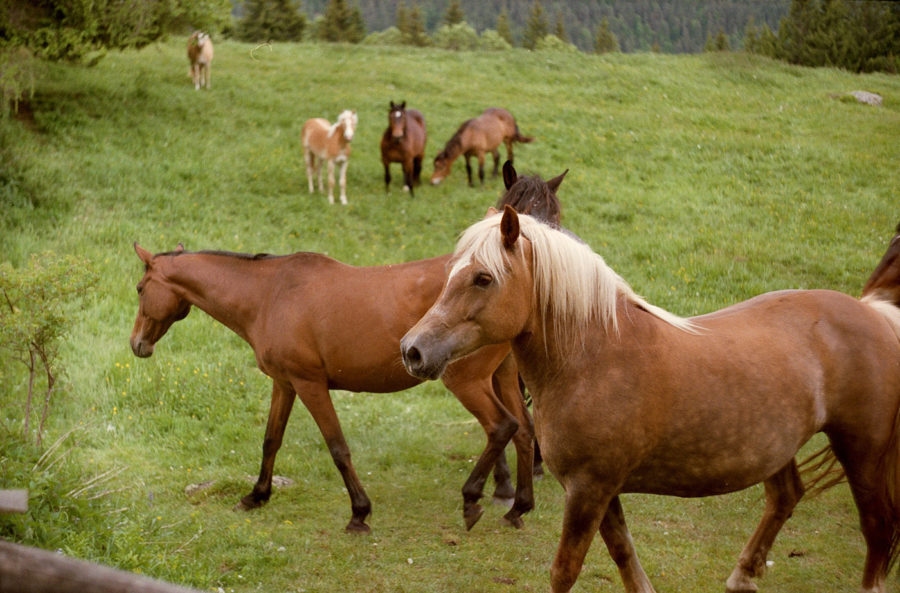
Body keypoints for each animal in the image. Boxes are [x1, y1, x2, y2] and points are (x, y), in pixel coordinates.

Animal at [401, 206, 900, 593]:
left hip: (861, 451)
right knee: (785, 497)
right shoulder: (600, 490)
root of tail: (875, 314)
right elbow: (625, 556)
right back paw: (742, 576)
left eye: (483, 278)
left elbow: (565, 570)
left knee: (877, 526)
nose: (413, 350)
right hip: (778, 449)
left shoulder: (589, 489)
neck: (593, 357)